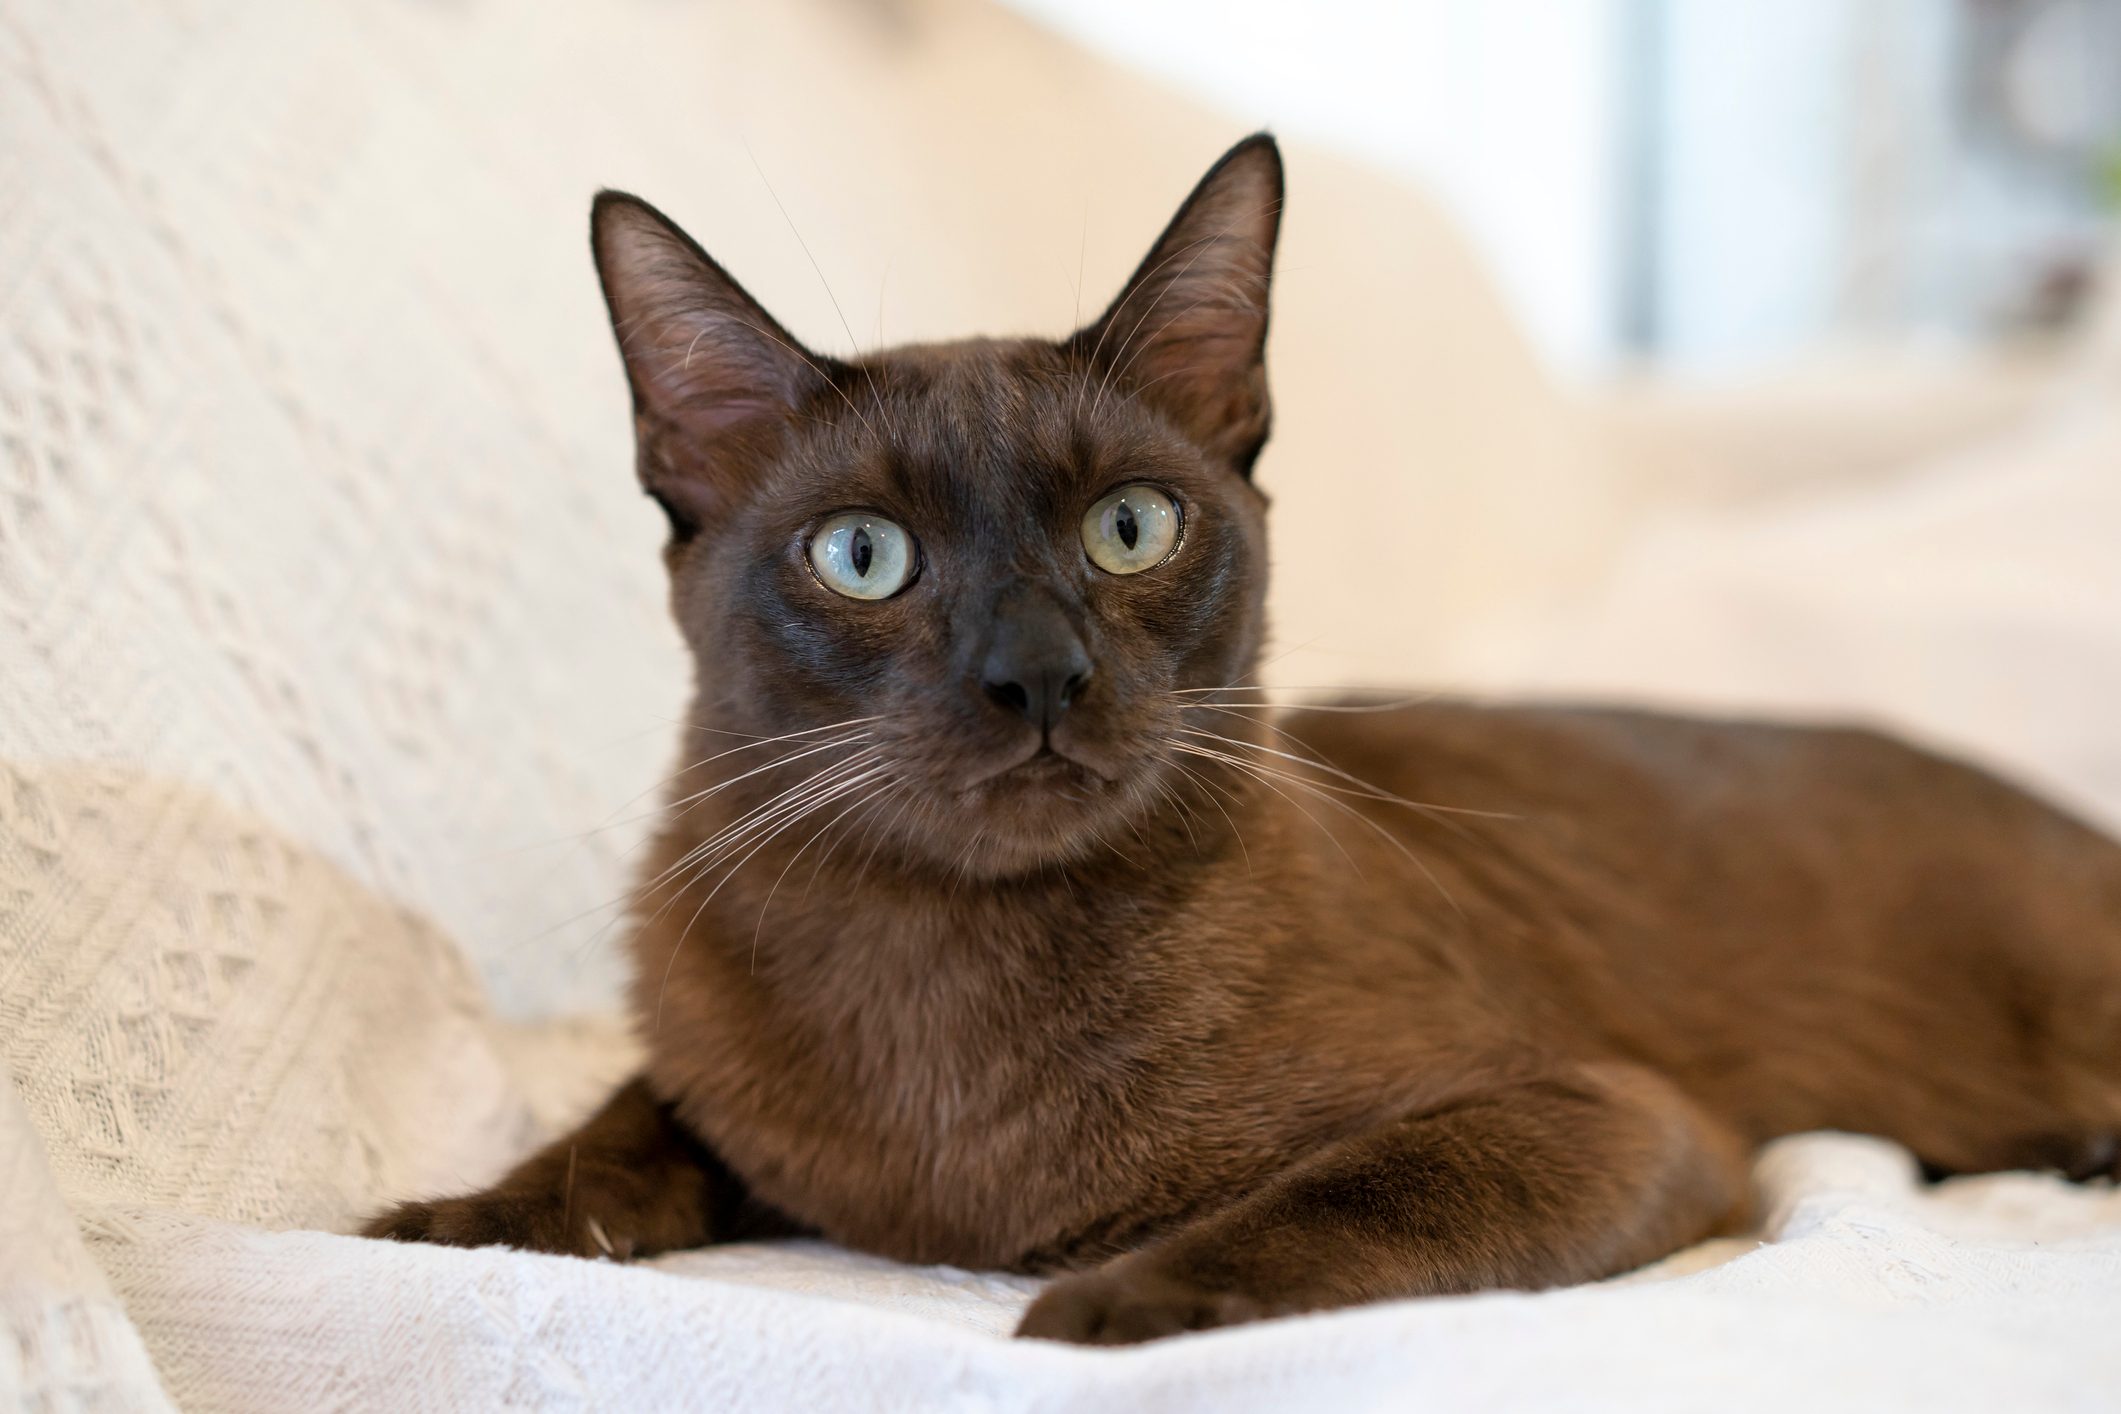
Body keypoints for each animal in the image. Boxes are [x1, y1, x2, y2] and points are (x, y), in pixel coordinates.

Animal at [364, 137, 2121, 1348]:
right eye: (863, 556)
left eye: (1131, 527)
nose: (1036, 676)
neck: (947, 998)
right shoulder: (706, 1085)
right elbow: (618, 1131)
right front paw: (452, 1228)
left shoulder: (1618, 1117)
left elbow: (1334, 1194)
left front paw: (1095, 1307)